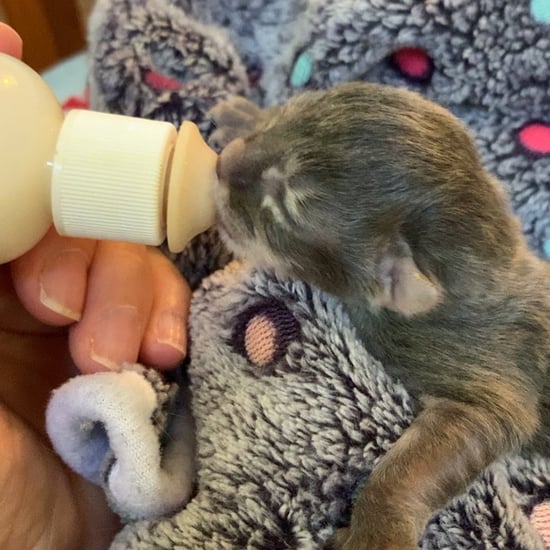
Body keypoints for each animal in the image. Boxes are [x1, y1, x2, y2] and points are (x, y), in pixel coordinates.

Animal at [209, 83, 550, 550]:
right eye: (284, 118)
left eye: (283, 202)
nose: (223, 163)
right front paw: (242, 114)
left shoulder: (484, 380)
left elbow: (411, 469)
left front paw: (376, 531)